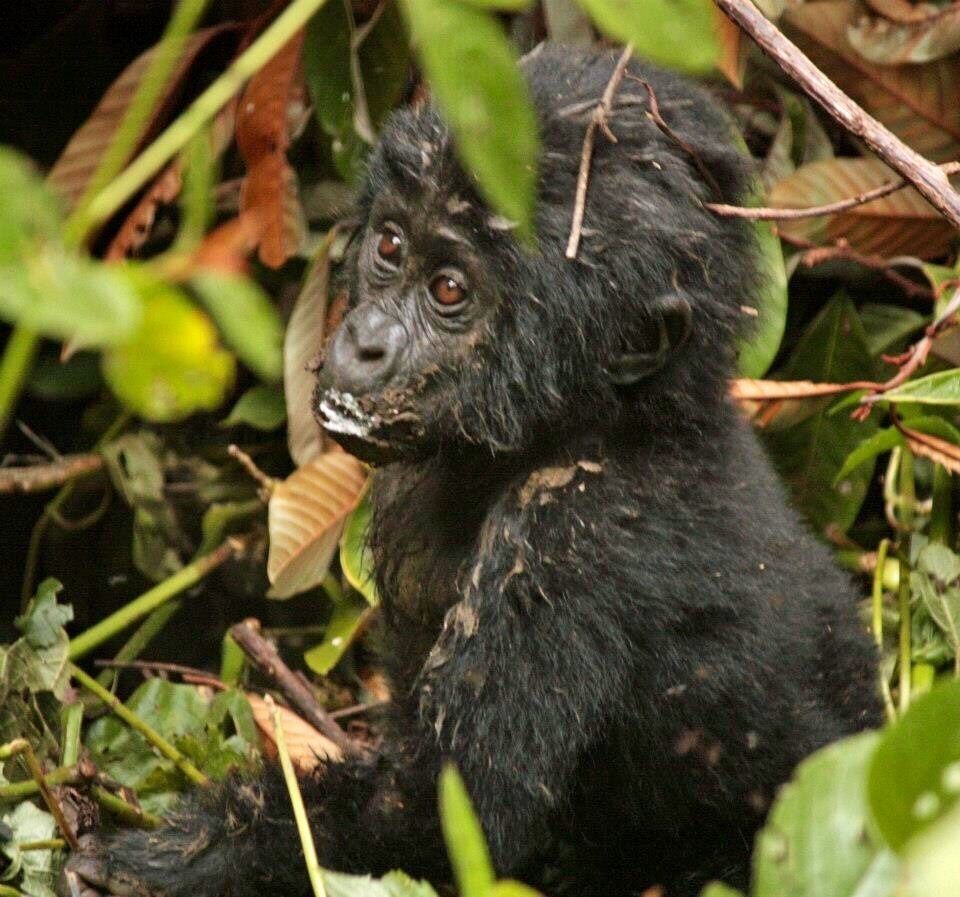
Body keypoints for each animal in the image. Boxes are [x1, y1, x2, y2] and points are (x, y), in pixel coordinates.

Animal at [65, 45, 881, 897]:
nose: (362, 341)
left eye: (449, 289)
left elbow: (442, 822)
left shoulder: (565, 538)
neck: (602, 419)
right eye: (390, 246)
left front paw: (153, 862)